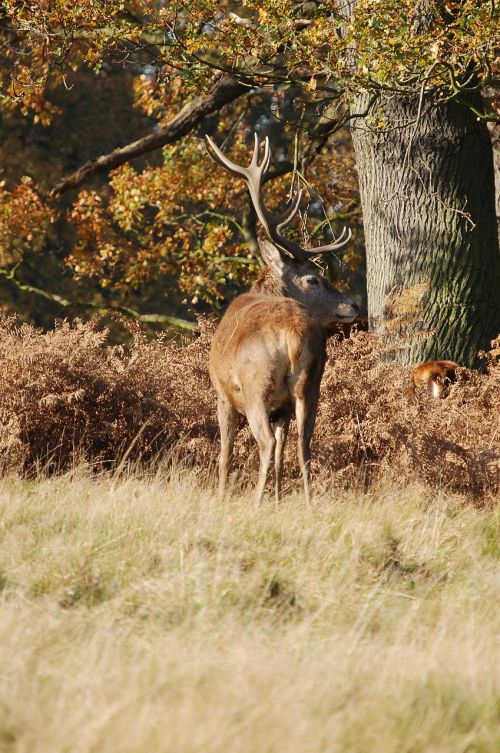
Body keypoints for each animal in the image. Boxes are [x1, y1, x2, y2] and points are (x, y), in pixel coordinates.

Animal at [205, 134, 358, 506]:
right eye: (313, 279)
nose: (353, 304)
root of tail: (293, 332)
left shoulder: (223, 393)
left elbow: (226, 454)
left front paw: (222, 496)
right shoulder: (283, 408)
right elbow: (283, 453)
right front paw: (277, 498)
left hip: (255, 386)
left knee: (265, 443)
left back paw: (255, 503)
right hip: (310, 385)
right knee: (303, 444)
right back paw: (309, 503)